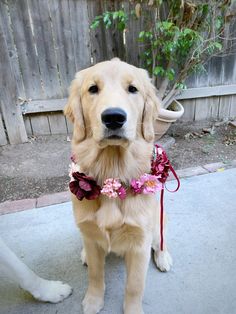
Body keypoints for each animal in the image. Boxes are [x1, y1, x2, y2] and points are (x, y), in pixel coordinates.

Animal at [64, 58, 171, 312]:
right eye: (93, 89)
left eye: (133, 89)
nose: (113, 117)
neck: (112, 175)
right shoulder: (92, 237)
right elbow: (95, 275)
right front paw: (93, 301)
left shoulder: (140, 244)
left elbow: (134, 286)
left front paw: (132, 310)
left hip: (158, 222)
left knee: (161, 240)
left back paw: (164, 257)